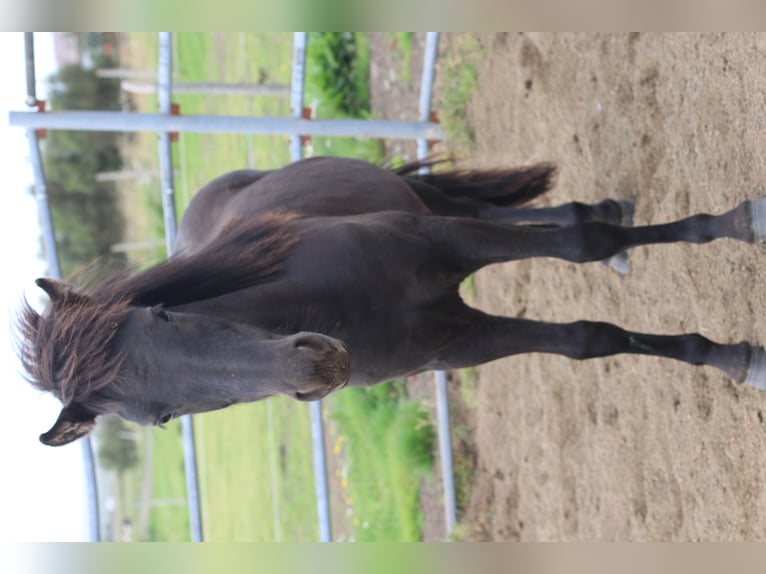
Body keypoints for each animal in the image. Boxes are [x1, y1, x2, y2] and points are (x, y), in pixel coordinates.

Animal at [18, 156, 766, 447]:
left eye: (166, 314)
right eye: (165, 417)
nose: (316, 366)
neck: (351, 303)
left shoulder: (451, 240)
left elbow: (584, 244)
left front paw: (738, 225)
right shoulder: (461, 341)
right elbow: (591, 339)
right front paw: (731, 357)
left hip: (429, 201)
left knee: (521, 212)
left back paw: (613, 212)